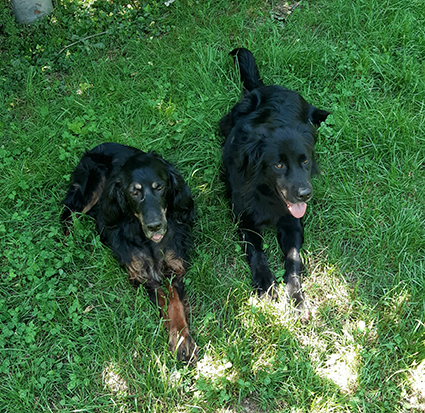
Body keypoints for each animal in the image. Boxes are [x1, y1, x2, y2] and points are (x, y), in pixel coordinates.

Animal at [61, 143, 197, 362]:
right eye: (134, 193)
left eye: (160, 187)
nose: (154, 226)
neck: (148, 242)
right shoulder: (141, 274)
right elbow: (162, 297)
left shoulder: (174, 267)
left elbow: (174, 301)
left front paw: (181, 339)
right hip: (93, 182)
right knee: (69, 212)